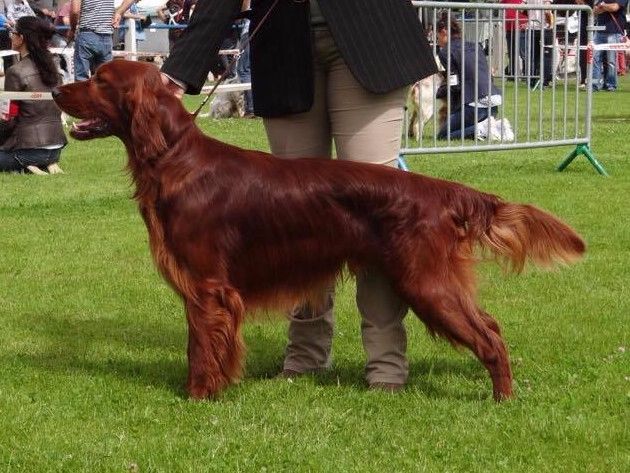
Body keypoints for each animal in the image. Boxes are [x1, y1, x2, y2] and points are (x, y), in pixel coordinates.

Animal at [53, 58, 588, 398]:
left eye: (99, 79)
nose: (55, 89)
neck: (173, 159)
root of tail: (440, 192)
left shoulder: (208, 287)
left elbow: (202, 349)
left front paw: (199, 396)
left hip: (427, 281)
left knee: (490, 335)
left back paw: (503, 400)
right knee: (491, 326)